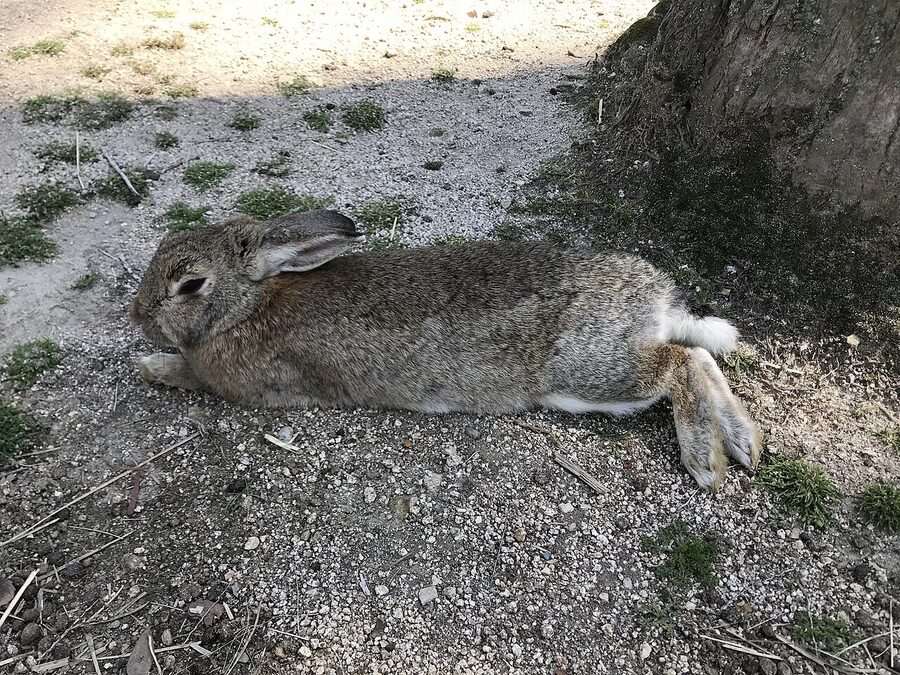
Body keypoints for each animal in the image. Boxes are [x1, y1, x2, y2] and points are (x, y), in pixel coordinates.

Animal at [131, 209, 761, 490]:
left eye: (190, 285)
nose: (137, 317)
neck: (249, 303)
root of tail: (657, 299)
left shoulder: (253, 385)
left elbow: (190, 374)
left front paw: (153, 365)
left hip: (593, 372)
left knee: (680, 363)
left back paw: (707, 460)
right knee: (701, 355)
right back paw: (742, 441)